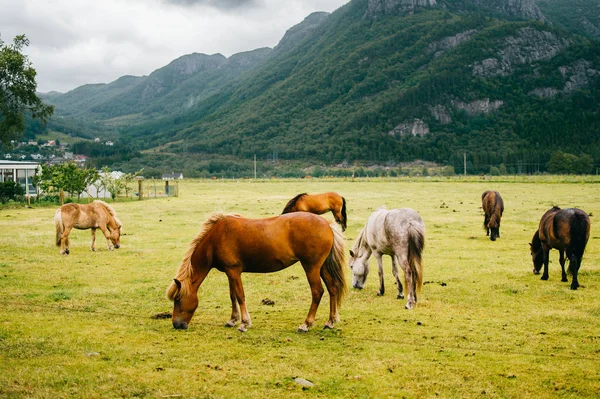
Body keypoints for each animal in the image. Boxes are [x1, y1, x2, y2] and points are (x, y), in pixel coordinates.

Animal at [166, 214, 350, 332]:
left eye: (178, 299)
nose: (176, 324)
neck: (215, 239)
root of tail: (326, 224)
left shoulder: (234, 271)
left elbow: (240, 296)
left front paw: (244, 323)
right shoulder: (230, 272)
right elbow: (233, 296)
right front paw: (232, 320)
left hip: (311, 268)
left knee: (317, 292)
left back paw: (306, 324)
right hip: (323, 267)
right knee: (333, 289)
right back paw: (330, 322)